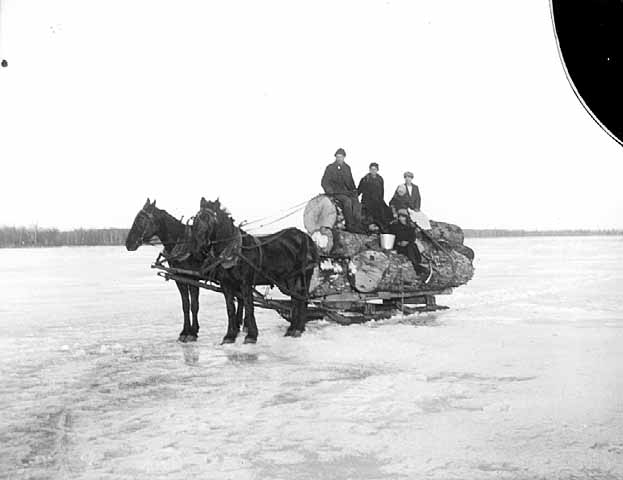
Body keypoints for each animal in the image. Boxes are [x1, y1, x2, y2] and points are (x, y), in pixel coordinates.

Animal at [125, 198, 245, 342]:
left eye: (141, 220)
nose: (128, 243)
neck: (182, 245)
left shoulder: (192, 278)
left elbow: (194, 305)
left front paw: (193, 332)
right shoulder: (180, 278)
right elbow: (185, 305)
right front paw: (185, 331)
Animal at [193, 197, 320, 344]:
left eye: (209, 220)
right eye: (195, 220)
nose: (198, 246)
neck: (233, 251)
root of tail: (305, 237)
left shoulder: (245, 283)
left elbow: (249, 306)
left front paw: (251, 335)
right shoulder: (226, 284)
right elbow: (230, 309)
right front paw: (230, 335)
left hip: (304, 274)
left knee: (303, 299)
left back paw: (298, 328)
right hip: (289, 279)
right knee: (296, 299)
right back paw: (294, 328)